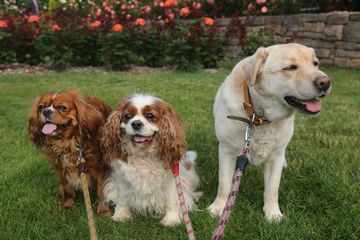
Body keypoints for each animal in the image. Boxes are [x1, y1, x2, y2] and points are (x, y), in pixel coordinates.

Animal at [102, 94, 201, 227]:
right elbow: (122, 197)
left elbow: (172, 199)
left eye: (150, 116)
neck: (144, 155)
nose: (136, 123)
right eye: (127, 116)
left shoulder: (172, 178)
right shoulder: (121, 177)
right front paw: (121, 215)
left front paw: (171, 219)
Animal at [208, 43, 332, 221]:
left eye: (315, 64)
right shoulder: (227, 151)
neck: (258, 116)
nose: (325, 82)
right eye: (290, 67)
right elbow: (224, 185)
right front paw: (218, 208)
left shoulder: (275, 157)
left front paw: (273, 214)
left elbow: (272, 188)